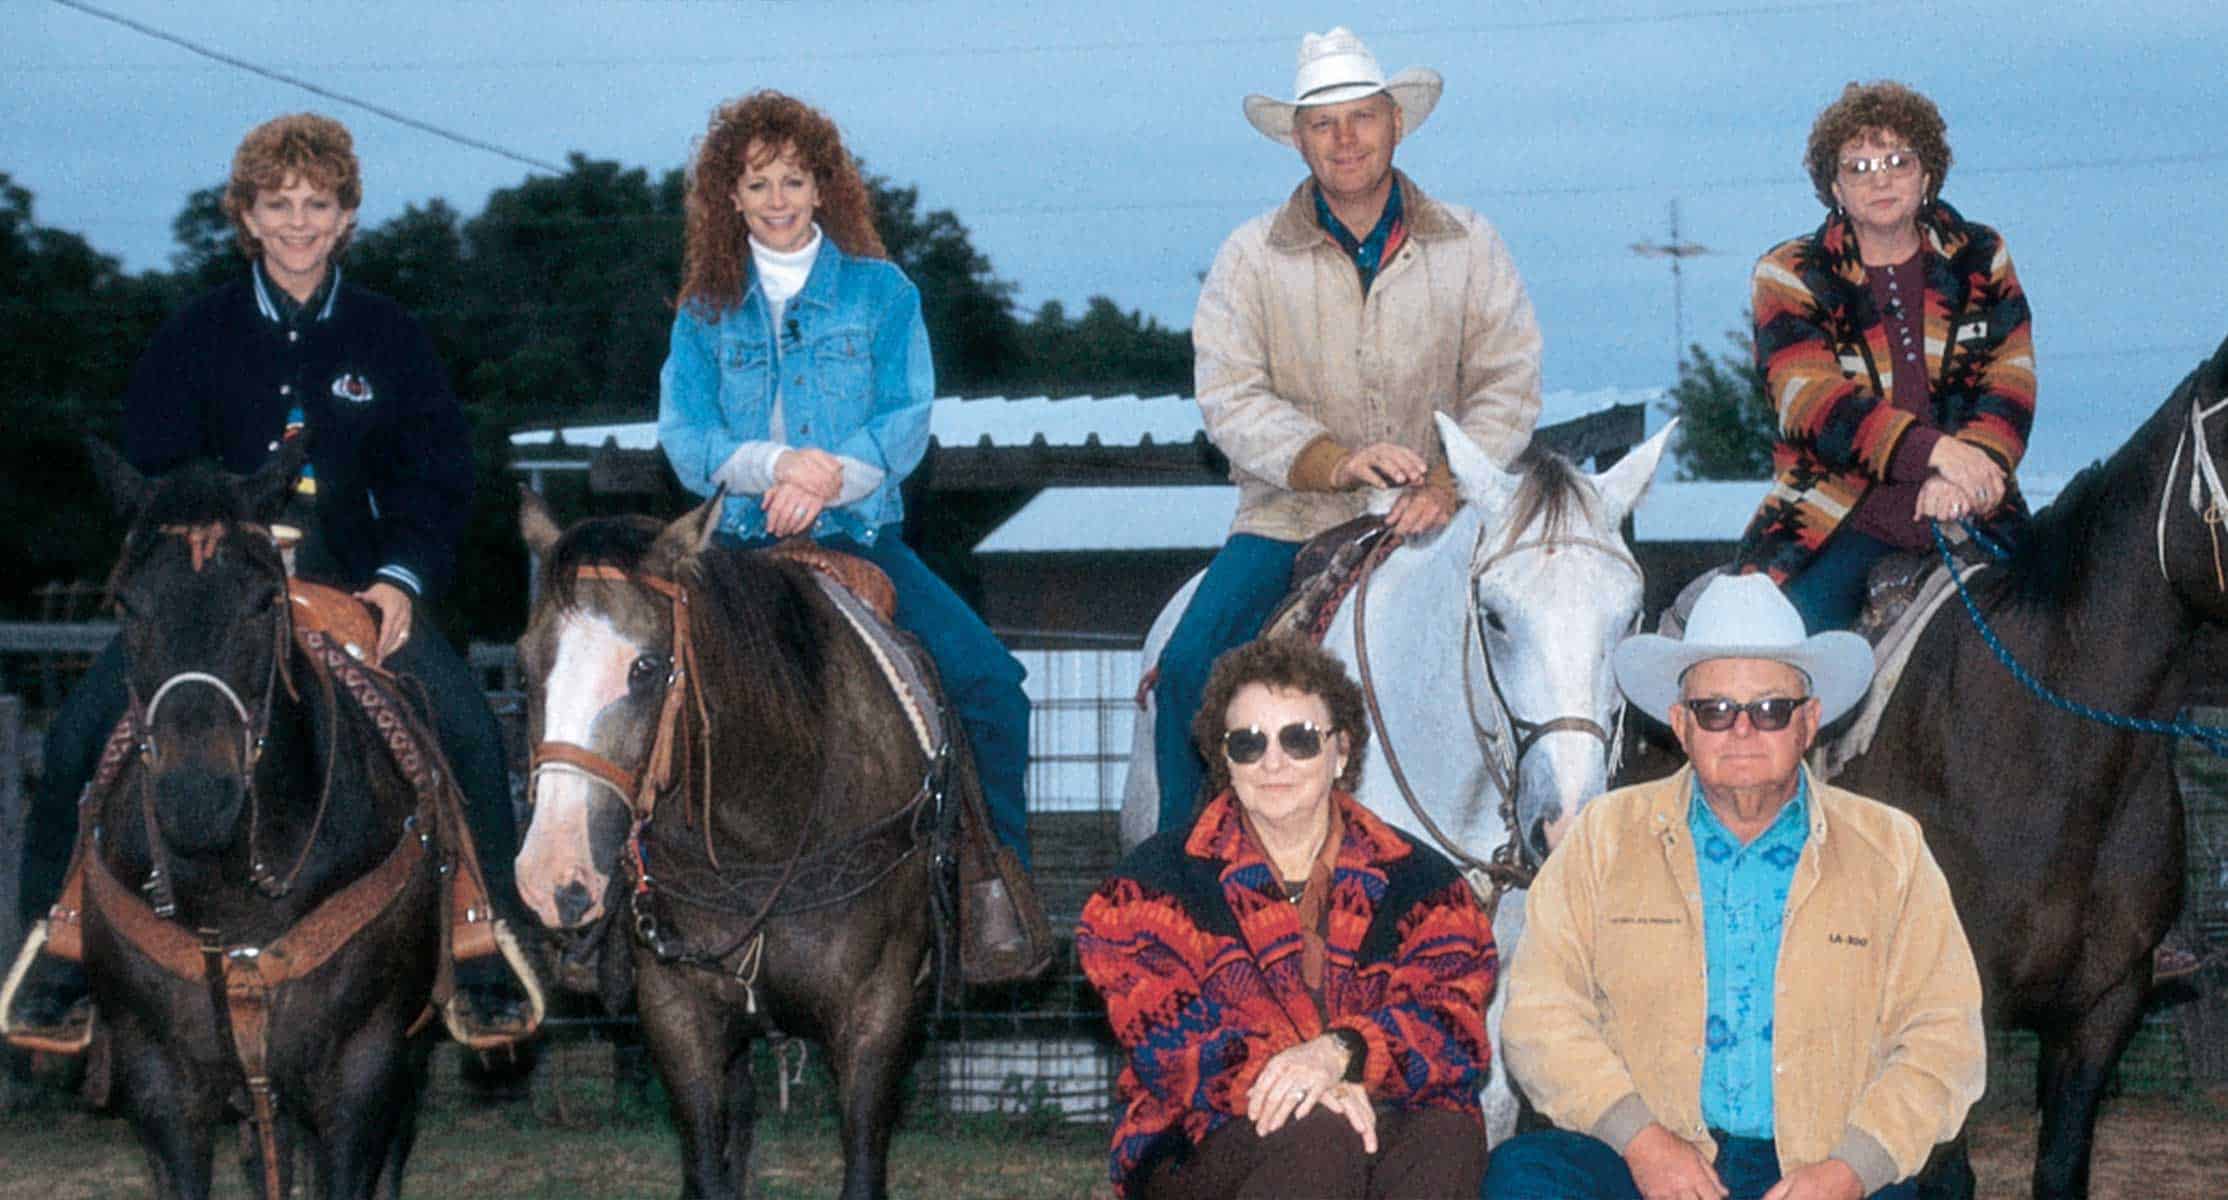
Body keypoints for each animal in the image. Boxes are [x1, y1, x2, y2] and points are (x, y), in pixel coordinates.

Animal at [72, 445, 448, 1200]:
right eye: (127, 603)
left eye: (264, 601)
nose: (196, 792)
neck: (233, 890)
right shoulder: (158, 1081)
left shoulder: (362, 1075)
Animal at [514, 489, 941, 1200]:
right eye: (524, 669)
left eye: (646, 667)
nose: (552, 876)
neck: (764, 834)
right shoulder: (679, 1017)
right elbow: (708, 1165)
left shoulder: (877, 1015)